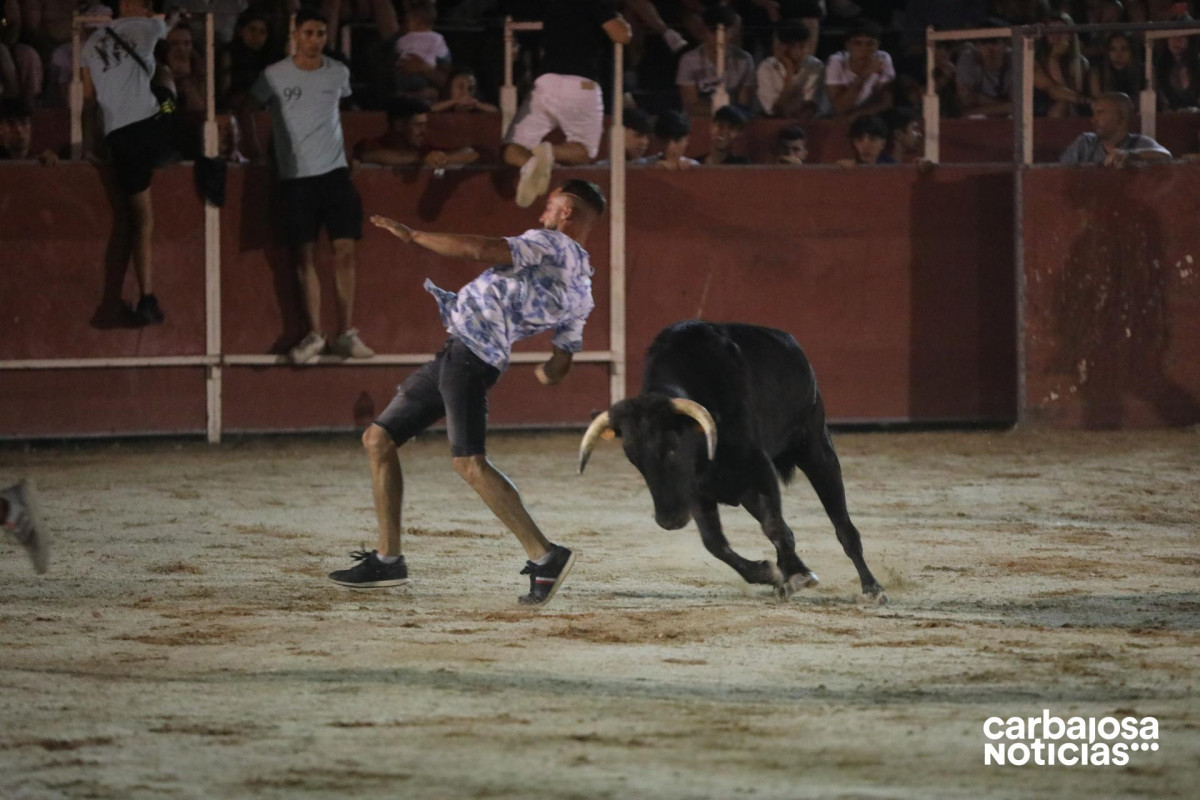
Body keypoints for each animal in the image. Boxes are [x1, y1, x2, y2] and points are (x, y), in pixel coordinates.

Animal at [576, 319, 888, 599]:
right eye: (633, 458)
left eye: (673, 446)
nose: (669, 520)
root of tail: (794, 347)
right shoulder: (698, 491)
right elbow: (715, 542)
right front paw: (773, 574)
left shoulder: (759, 468)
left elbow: (774, 526)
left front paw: (797, 576)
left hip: (815, 448)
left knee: (842, 525)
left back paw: (872, 587)